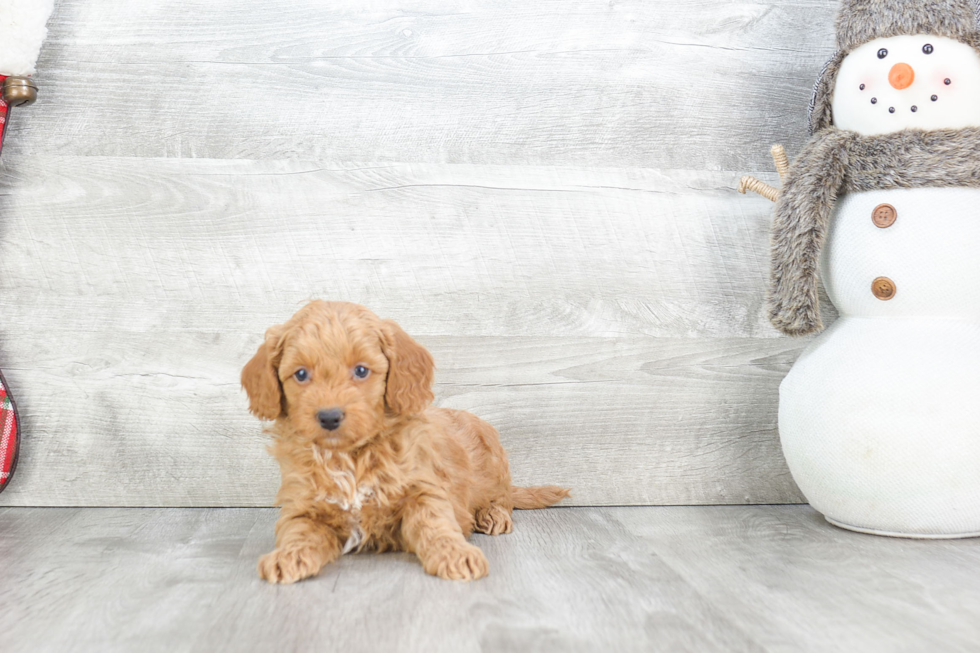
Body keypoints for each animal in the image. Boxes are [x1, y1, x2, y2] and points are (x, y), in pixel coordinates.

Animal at [240, 300, 572, 580]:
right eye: (300, 374)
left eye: (361, 370)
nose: (329, 417)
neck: (350, 457)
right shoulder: (302, 505)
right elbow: (298, 531)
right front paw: (287, 556)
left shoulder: (423, 489)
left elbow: (435, 523)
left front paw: (456, 554)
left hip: (494, 457)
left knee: (503, 497)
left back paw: (493, 514)